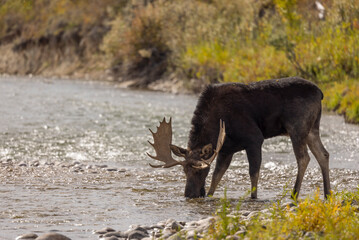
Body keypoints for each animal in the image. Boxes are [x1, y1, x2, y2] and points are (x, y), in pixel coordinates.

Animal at [147, 77, 332, 199]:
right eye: (184, 170)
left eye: (200, 170)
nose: (189, 195)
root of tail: (321, 93)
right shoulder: (225, 150)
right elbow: (217, 176)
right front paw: (209, 195)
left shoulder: (254, 139)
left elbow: (253, 172)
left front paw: (253, 197)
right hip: (312, 129)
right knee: (323, 154)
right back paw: (327, 193)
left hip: (297, 128)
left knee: (304, 158)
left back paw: (294, 194)